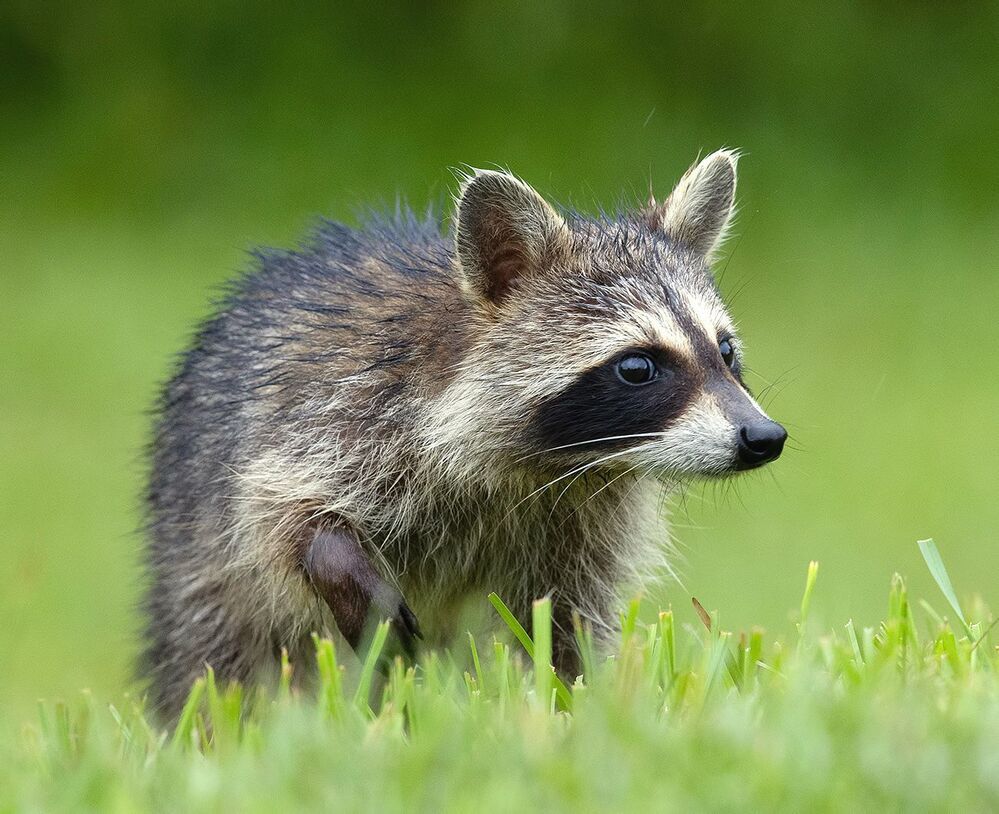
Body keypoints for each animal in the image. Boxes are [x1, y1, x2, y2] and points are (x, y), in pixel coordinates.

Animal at [143, 149, 785, 718]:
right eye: (637, 367)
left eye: (725, 351)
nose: (763, 437)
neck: (552, 462)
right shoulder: (333, 412)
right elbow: (278, 511)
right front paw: (337, 562)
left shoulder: (588, 520)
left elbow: (565, 621)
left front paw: (575, 704)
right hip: (194, 560)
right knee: (219, 656)